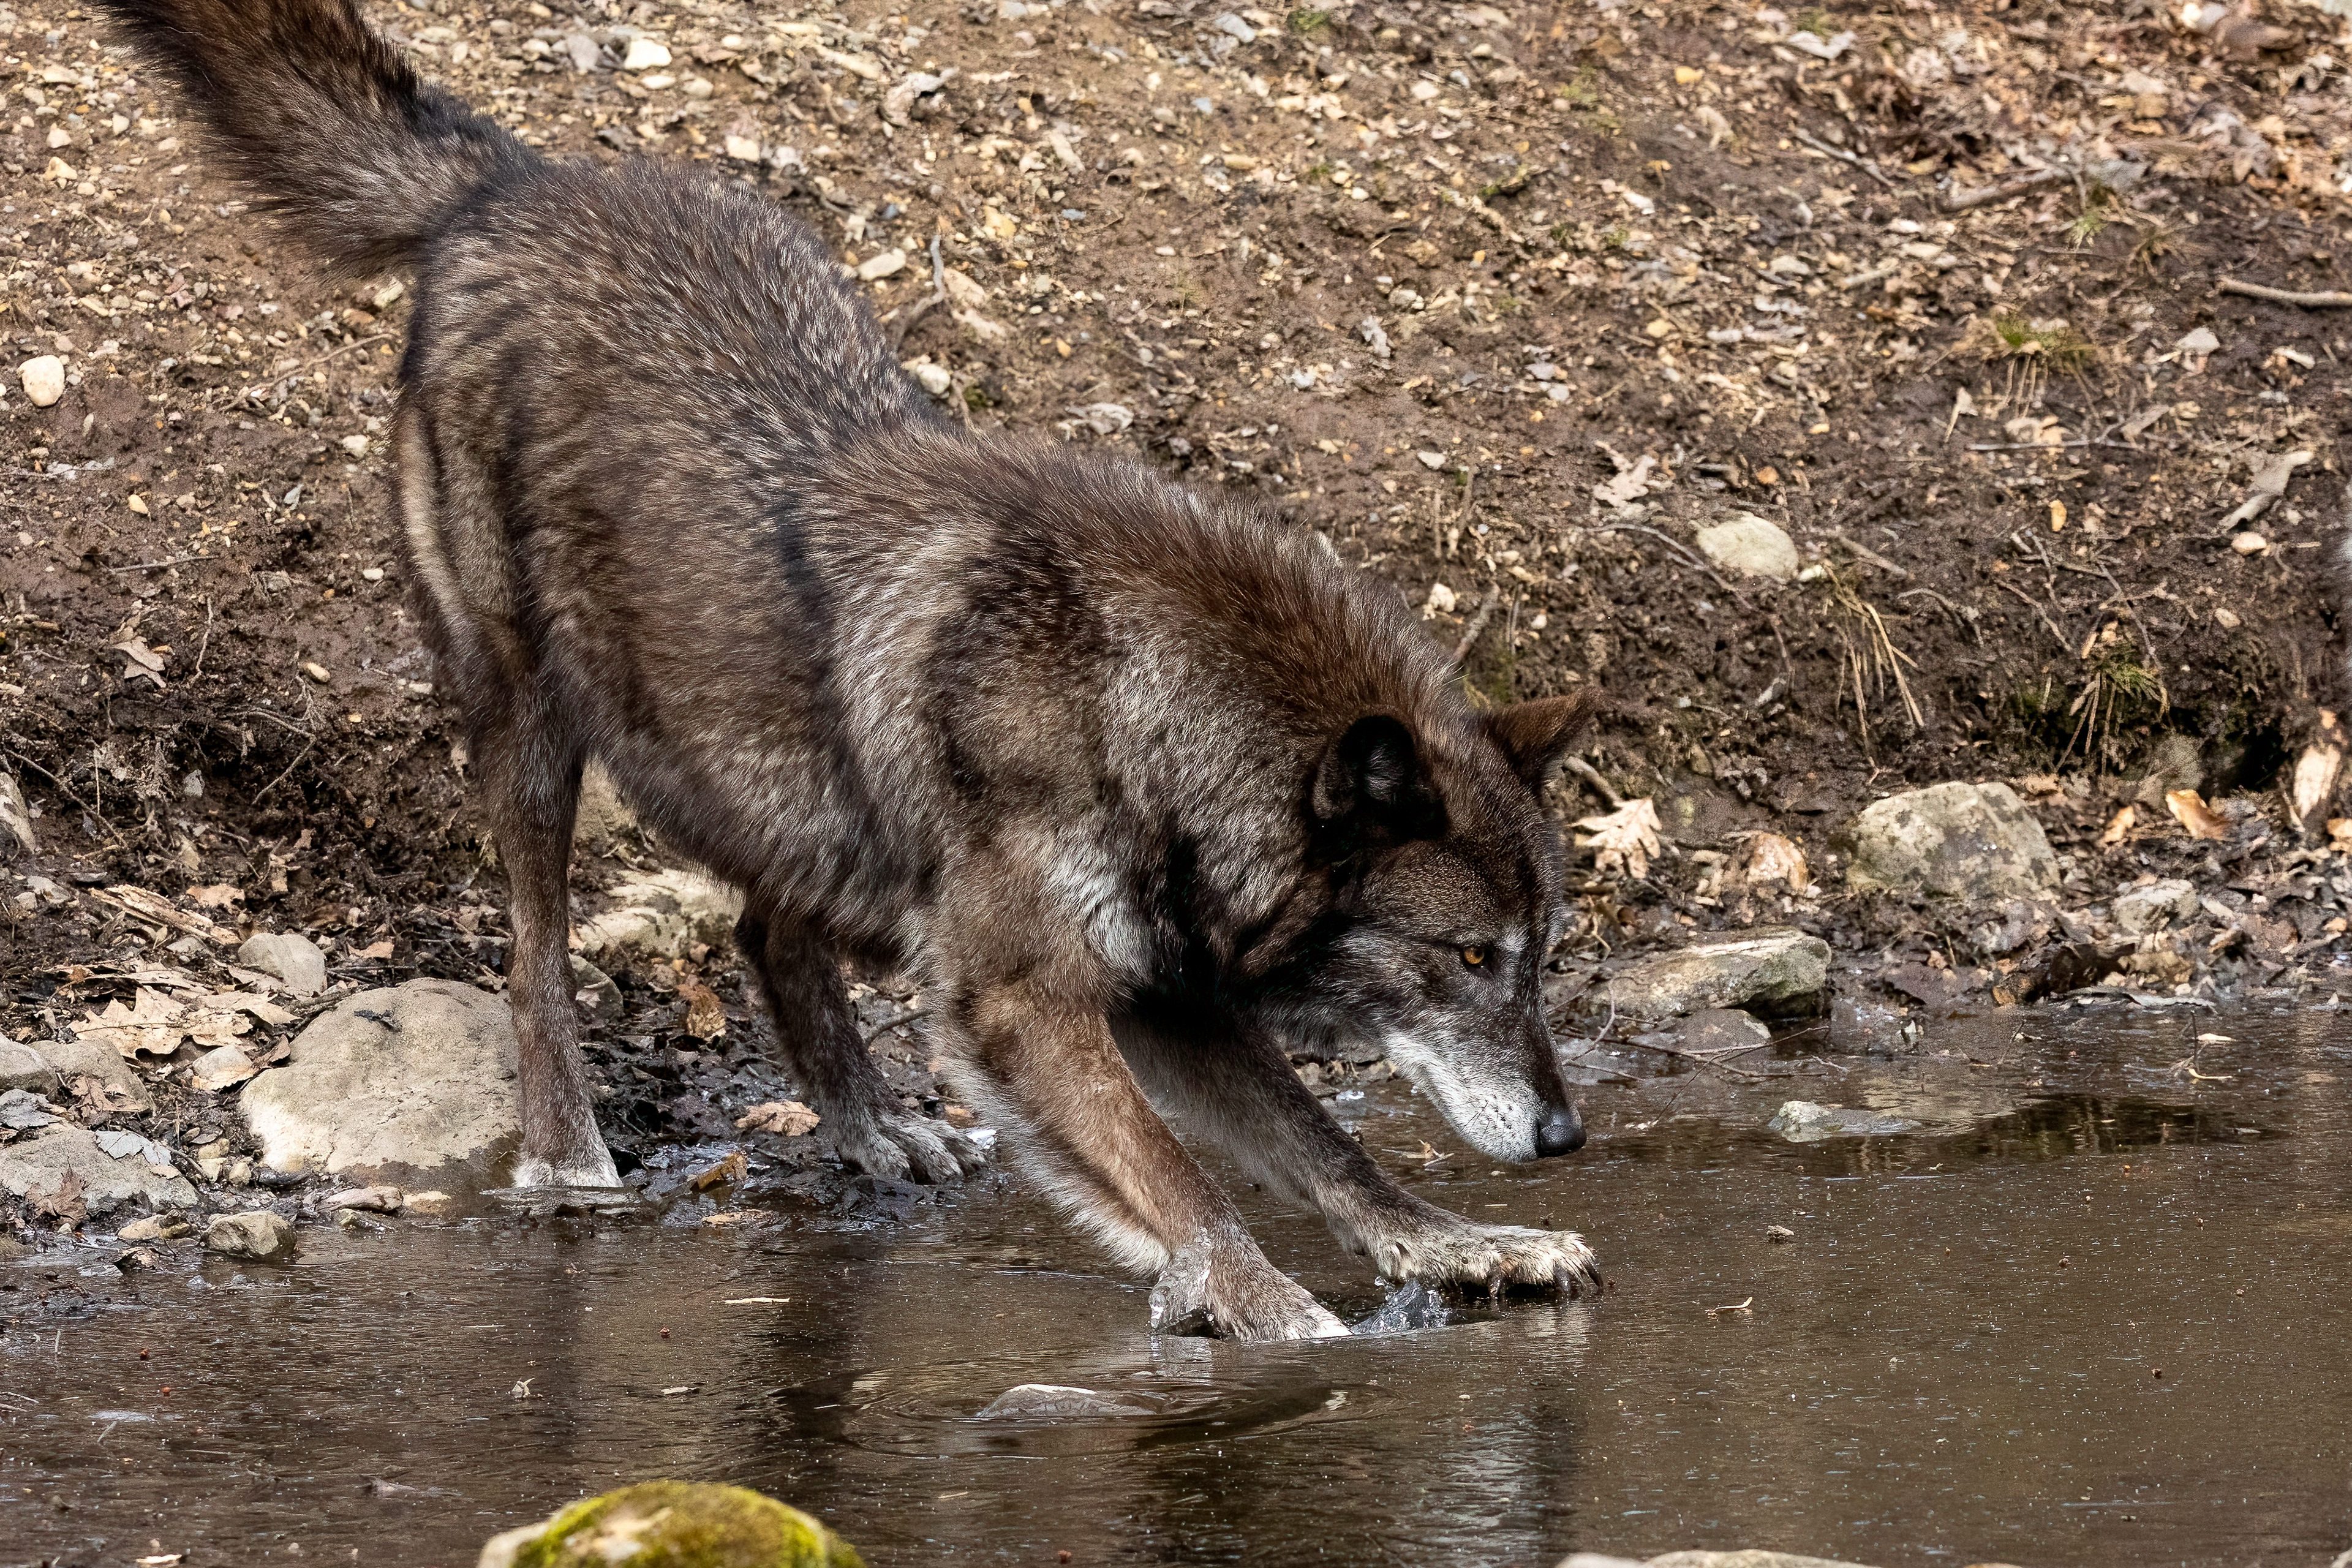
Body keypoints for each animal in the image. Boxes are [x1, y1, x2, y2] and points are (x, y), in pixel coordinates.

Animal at [106, 0, 1606, 1338]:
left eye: (1542, 959)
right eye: (1471, 955)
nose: (1565, 1134)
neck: (1140, 701)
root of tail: (518, 180)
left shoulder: (1175, 999)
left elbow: (1326, 1148)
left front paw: (1462, 1245)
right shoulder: (1025, 1000)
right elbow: (1188, 1181)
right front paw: (1279, 1316)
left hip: (782, 766)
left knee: (765, 932)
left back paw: (871, 1122)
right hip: (535, 725)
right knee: (536, 955)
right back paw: (568, 1154)